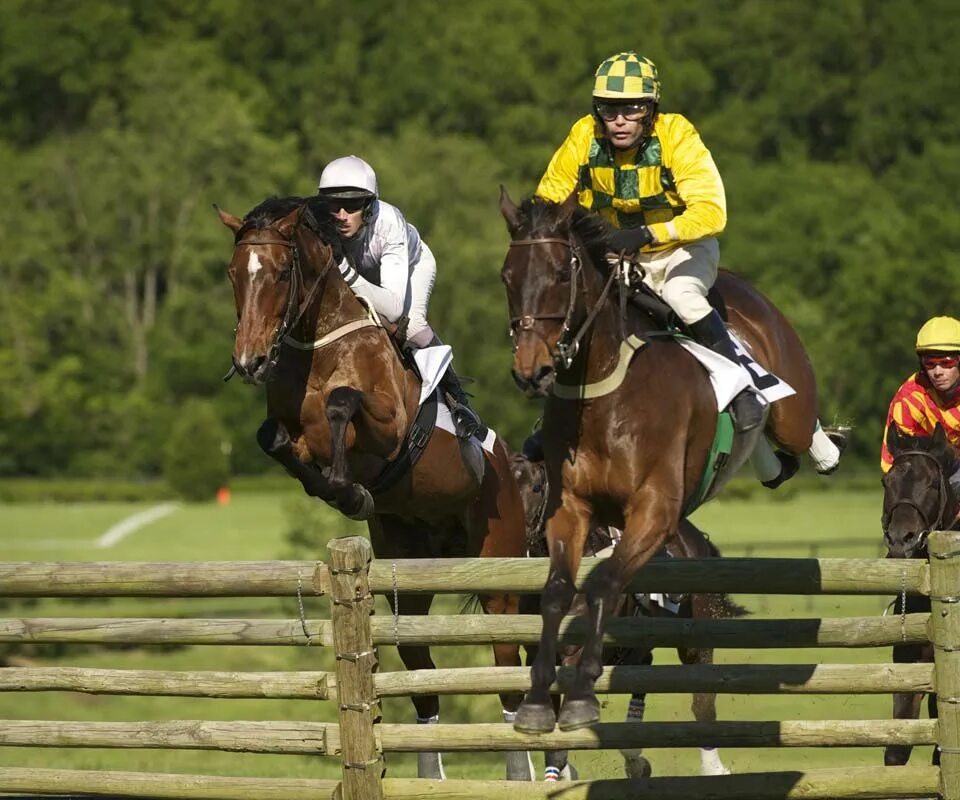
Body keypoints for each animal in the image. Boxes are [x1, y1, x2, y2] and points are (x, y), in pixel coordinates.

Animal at [219, 197, 532, 780]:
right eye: (232, 274)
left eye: (279, 273)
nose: (250, 362)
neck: (318, 344)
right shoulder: (289, 432)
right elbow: (274, 438)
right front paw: (344, 493)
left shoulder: (390, 425)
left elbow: (343, 403)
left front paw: (348, 486)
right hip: (409, 573)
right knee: (422, 674)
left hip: (499, 572)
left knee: (507, 672)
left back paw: (522, 773)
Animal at [502, 192, 832, 732]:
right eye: (507, 276)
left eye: (557, 274)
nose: (533, 371)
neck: (604, 393)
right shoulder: (571, 508)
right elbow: (557, 590)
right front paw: (536, 701)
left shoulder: (654, 511)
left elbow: (603, 584)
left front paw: (581, 694)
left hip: (793, 410)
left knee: (794, 425)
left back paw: (821, 446)